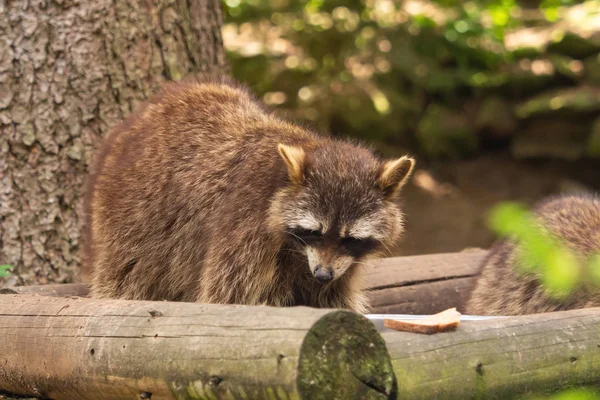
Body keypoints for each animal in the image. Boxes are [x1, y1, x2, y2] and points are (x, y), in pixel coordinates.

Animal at [82, 74, 414, 312]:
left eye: (351, 239)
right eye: (313, 232)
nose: (322, 275)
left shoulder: (341, 264)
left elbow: (331, 300)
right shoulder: (246, 225)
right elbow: (229, 298)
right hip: (131, 216)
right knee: (125, 275)